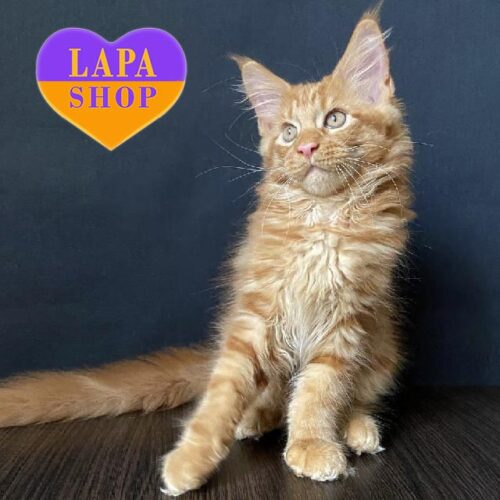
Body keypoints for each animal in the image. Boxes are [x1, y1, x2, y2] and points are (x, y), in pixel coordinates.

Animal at [0, 8, 414, 496]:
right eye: (288, 132)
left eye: (334, 119)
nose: (306, 147)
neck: (322, 220)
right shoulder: (254, 316)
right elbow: (222, 395)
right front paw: (191, 459)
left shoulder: (346, 320)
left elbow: (320, 392)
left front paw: (312, 443)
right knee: (269, 397)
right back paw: (256, 418)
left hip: (383, 344)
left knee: (353, 395)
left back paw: (356, 428)